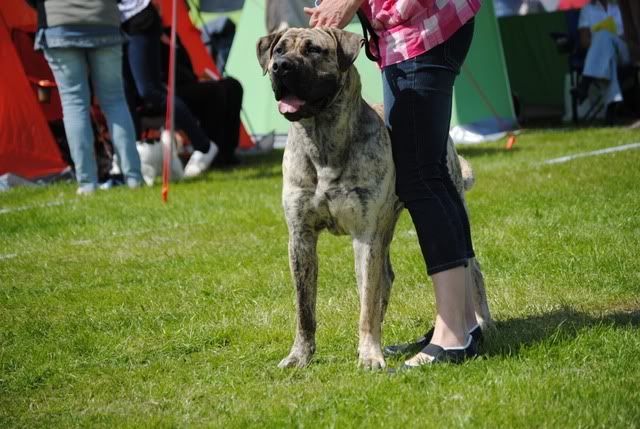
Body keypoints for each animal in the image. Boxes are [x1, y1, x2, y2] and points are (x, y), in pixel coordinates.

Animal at [255, 26, 490, 368]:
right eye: (278, 50)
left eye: (314, 50)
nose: (280, 67)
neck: (322, 140)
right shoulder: (301, 236)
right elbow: (304, 308)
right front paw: (300, 355)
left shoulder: (365, 236)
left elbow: (366, 302)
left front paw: (369, 356)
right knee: (386, 279)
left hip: (447, 209)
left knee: (470, 268)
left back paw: (482, 325)